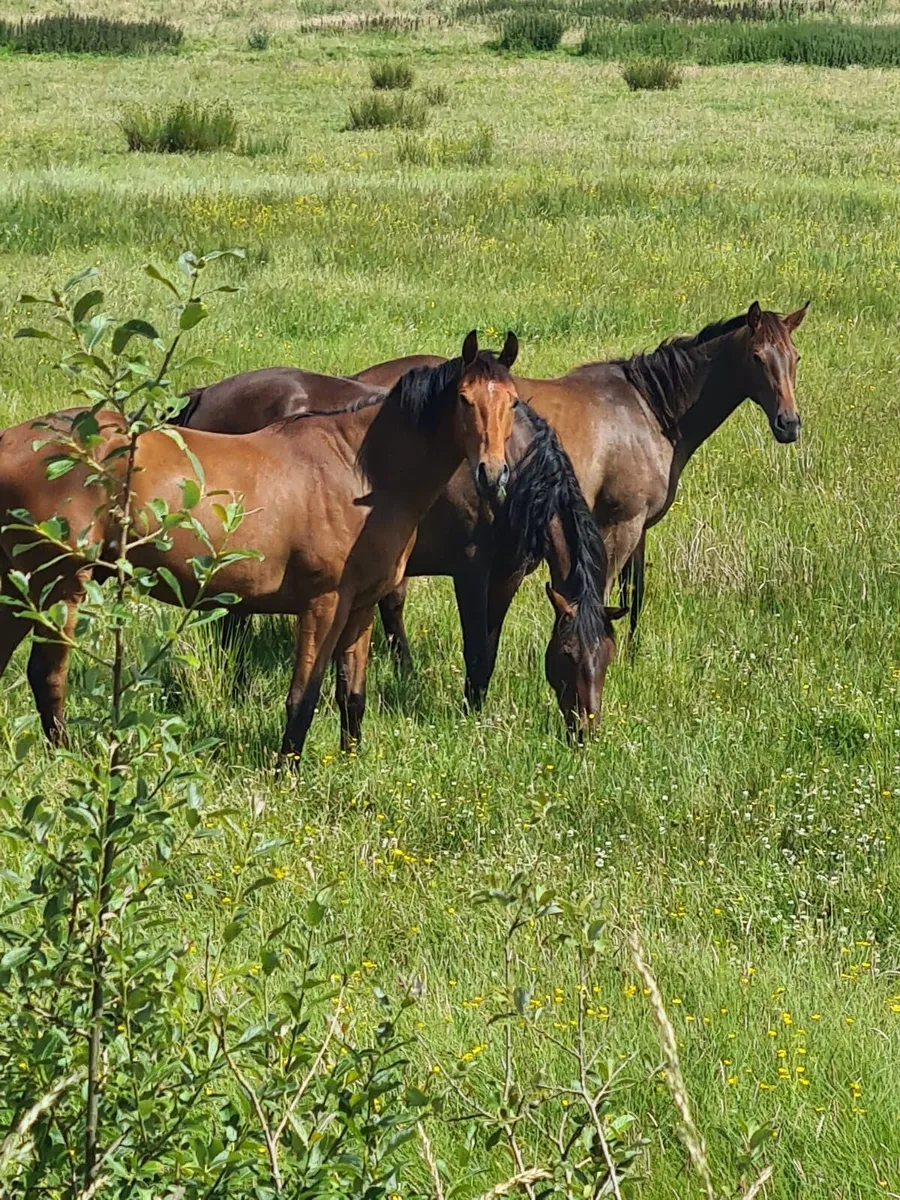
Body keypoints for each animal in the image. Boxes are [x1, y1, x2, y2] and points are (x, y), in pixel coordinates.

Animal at [0, 334, 520, 759]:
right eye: (463, 399)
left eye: (513, 403)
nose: (493, 475)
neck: (359, 472)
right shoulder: (322, 605)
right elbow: (303, 697)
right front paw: (286, 771)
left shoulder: (361, 608)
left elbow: (351, 694)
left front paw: (349, 763)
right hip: (59, 586)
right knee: (47, 675)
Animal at [178, 365, 627, 735]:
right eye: (567, 655)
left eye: (607, 657)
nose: (584, 732)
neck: (515, 472)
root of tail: (205, 393)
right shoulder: (470, 572)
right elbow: (476, 651)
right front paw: (469, 718)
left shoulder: (508, 575)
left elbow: (490, 650)